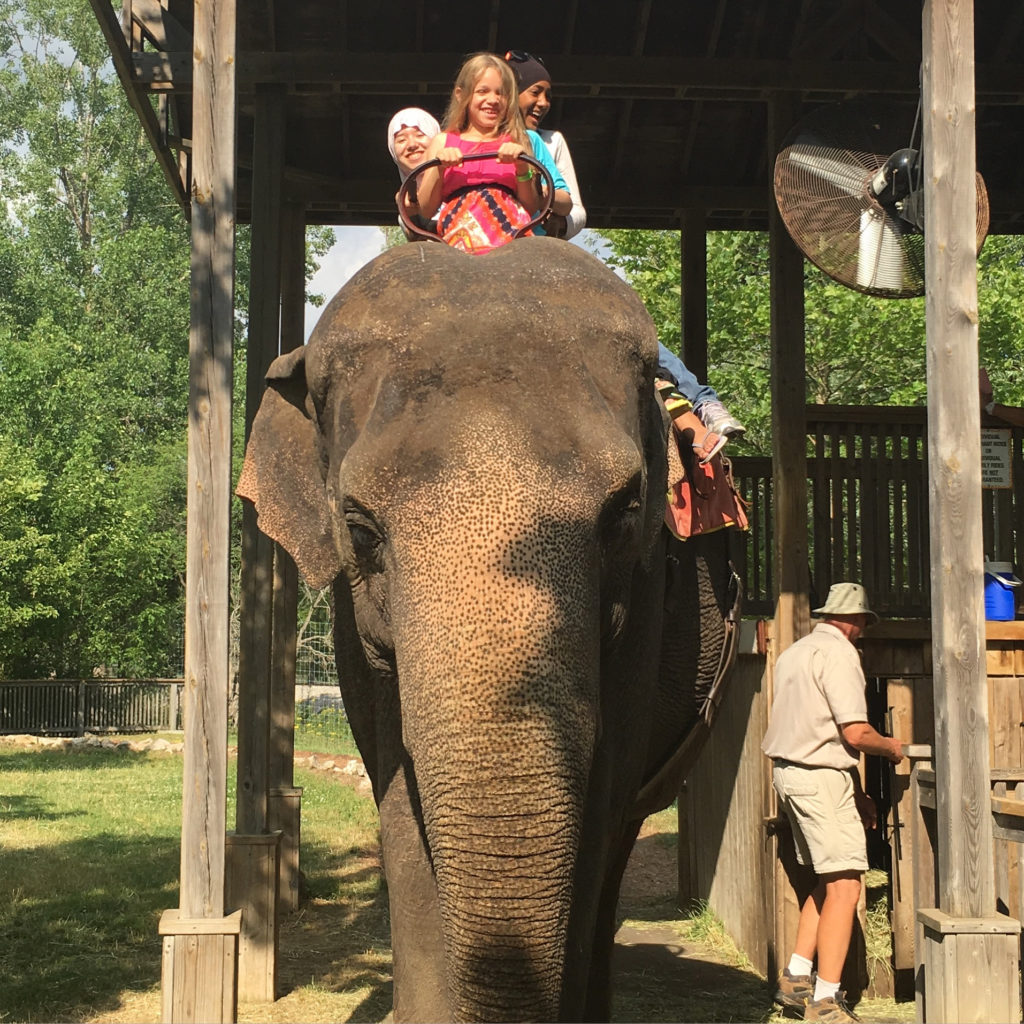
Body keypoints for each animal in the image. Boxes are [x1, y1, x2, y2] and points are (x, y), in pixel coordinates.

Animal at [235, 235, 741, 1019]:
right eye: (359, 528)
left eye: (626, 513)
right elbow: (395, 787)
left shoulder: (652, 596)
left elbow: (602, 788)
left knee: (622, 831)